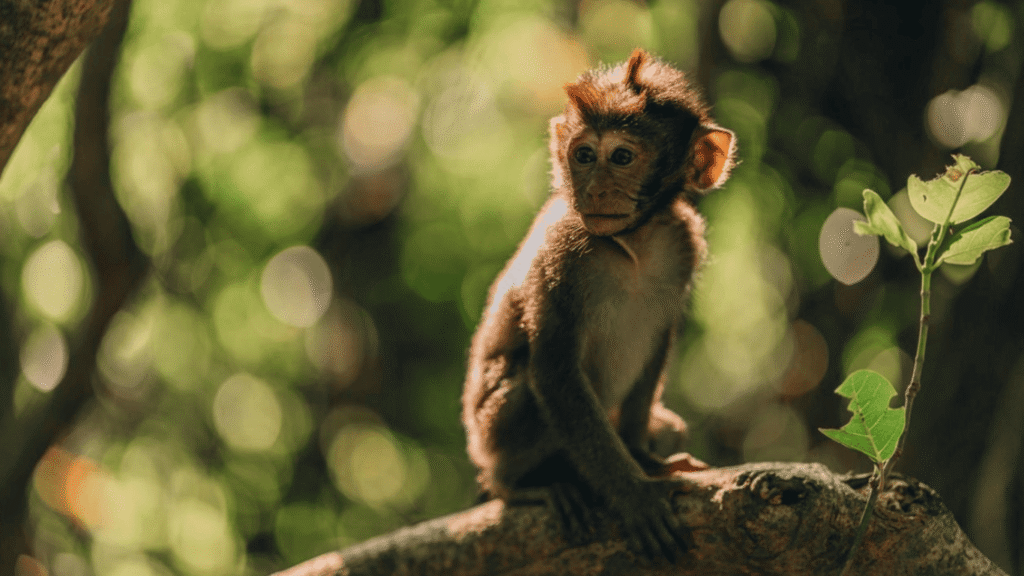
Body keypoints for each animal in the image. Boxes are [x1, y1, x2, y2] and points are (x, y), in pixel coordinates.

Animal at [461, 48, 735, 562]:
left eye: (622, 157)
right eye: (584, 156)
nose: (594, 190)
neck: (632, 244)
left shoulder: (682, 243)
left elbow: (656, 347)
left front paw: (643, 457)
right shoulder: (564, 253)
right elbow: (555, 373)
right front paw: (634, 494)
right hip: (491, 433)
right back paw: (521, 486)